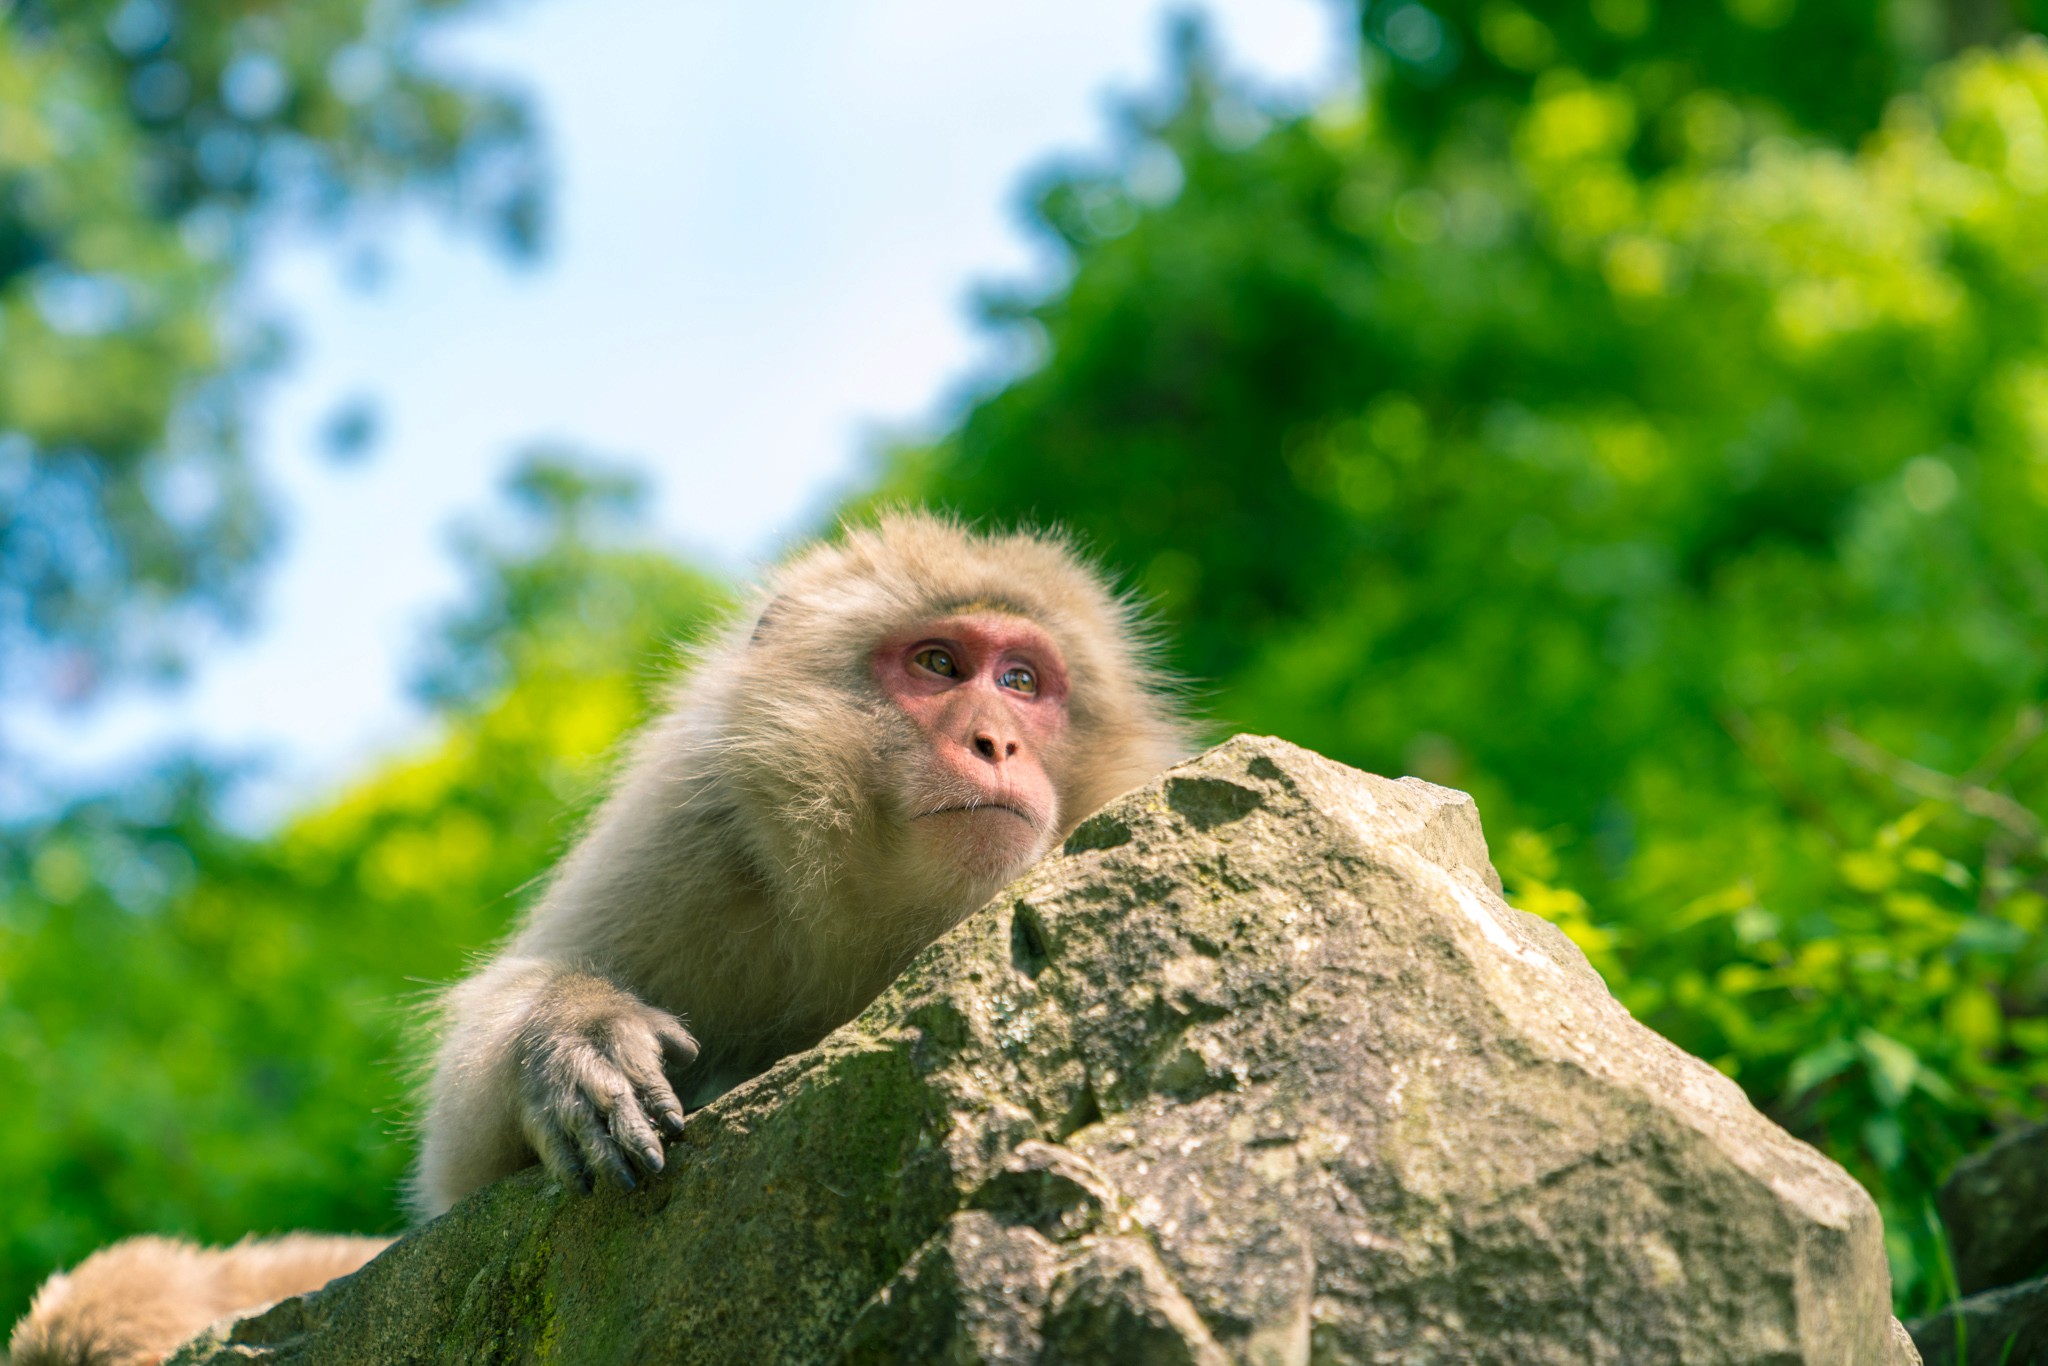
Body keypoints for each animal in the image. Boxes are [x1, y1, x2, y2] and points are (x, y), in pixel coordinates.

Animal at [12, 516, 1187, 1366]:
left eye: (1023, 683)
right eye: (939, 663)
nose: (994, 740)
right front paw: (570, 1038)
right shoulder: (692, 832)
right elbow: (461, 1179)